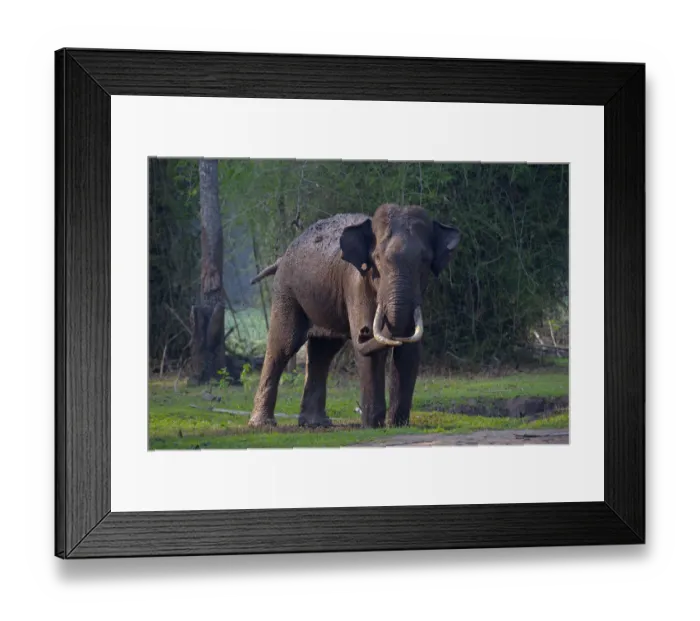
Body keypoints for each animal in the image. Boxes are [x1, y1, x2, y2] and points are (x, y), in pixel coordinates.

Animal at [248, 203, 460, 429]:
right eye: (377, 259)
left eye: (425, 261)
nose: (363, 331)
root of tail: (281, 258)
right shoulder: (356, 283)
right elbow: (372, 352)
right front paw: (373, 426)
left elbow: (410, 349)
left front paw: (398, 425)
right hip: (286, 291)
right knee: (283, 345)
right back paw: (263, 424)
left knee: (323, 350)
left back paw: (316, 424)